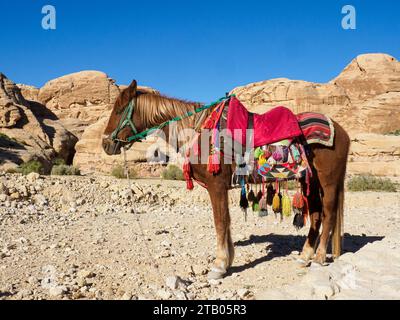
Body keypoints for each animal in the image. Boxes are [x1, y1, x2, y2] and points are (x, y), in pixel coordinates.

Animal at [102, 80, 350, 280]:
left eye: (119, 110)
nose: (105, 144)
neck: (199, 132)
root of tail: (342, 131)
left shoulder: (216, 186)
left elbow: (220, 222)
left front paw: (219, 266)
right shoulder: (220, 187)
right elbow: (227, 222)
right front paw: (228, 260)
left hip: (328, 181)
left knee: (328, 214)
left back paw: (318, 258)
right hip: (312, 181)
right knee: (316, 215)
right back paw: (305, 256)